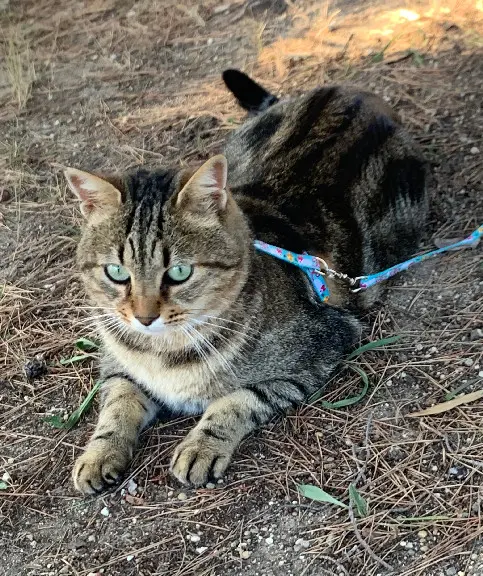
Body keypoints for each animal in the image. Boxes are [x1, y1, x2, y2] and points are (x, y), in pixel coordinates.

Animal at [63, 70, 428, 492]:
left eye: (180, 272)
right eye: (117, 273)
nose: (144, 318)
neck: (164, 353)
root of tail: (351, 91)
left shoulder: (323, 345)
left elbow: (237, 400)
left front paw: (201, 446)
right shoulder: (117, 366)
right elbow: (117, 404)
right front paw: (99, 454)